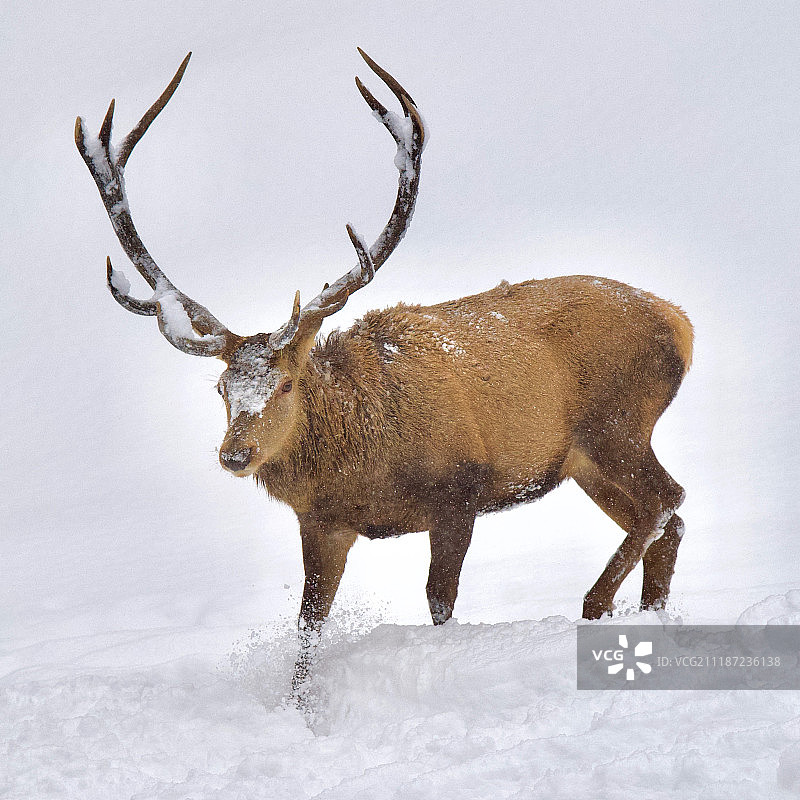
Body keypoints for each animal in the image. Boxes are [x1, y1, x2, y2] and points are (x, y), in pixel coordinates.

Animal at [76, 50, 693, 691]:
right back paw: (650, 621)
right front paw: (299, 703)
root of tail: (681, 323)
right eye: (222, 387)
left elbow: (440, 602)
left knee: (669, 498)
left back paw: (596, 608)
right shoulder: (323, 522)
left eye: (287, 382)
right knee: (669, 521)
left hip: (617, 421)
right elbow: (308, 626)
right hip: (582, 461)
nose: (235, 454)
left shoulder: (460, 490)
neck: (366, 467)